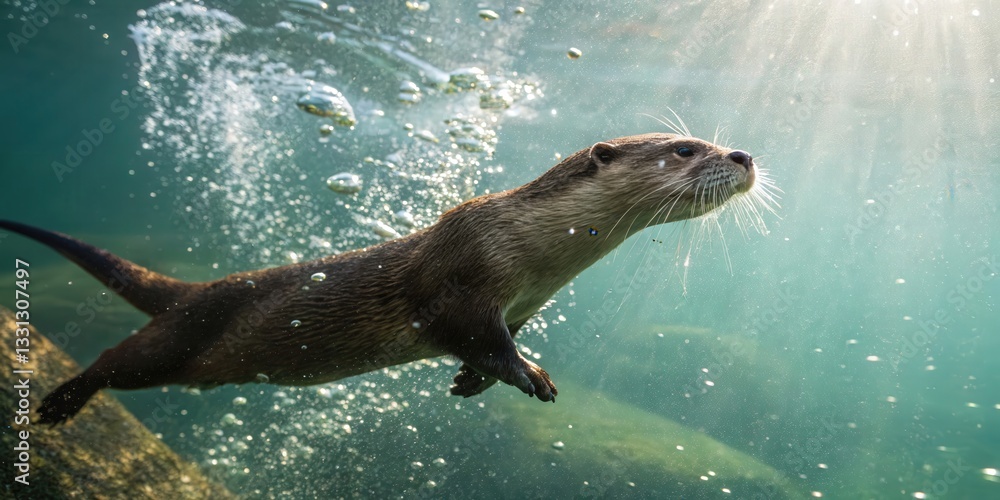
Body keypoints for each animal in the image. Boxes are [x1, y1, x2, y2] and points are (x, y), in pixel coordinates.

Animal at [1, 132, 769, 424]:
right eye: (684, 148)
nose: (742, 153)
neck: (533, 251)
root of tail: (200, 288)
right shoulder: (460, 281)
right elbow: (472, 333)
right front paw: (530, 376)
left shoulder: (523, 303)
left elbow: (493, 343)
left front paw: (472, 381)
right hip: (181, 340)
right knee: (118, 359)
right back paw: (62, 400)